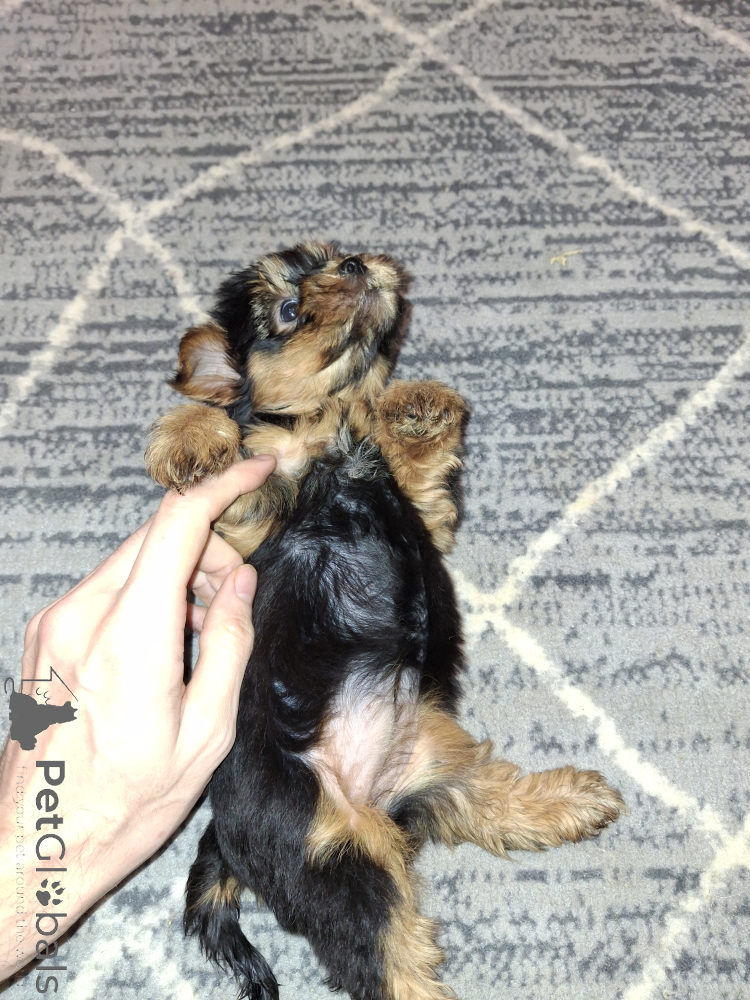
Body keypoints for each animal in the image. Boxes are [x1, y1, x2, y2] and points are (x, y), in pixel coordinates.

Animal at [146, 240, 624, 1000]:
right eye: (287, 310)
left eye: (332, 256)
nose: (356, 266)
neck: (330, 430)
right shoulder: (245, 532)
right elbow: (235, 451)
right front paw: (190, 440)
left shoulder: (422, 511)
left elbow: (415, 468)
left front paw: (418, 406)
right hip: (337, 855)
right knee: (384, 959)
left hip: (436, 766)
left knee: (489, 804)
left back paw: (573, 798)